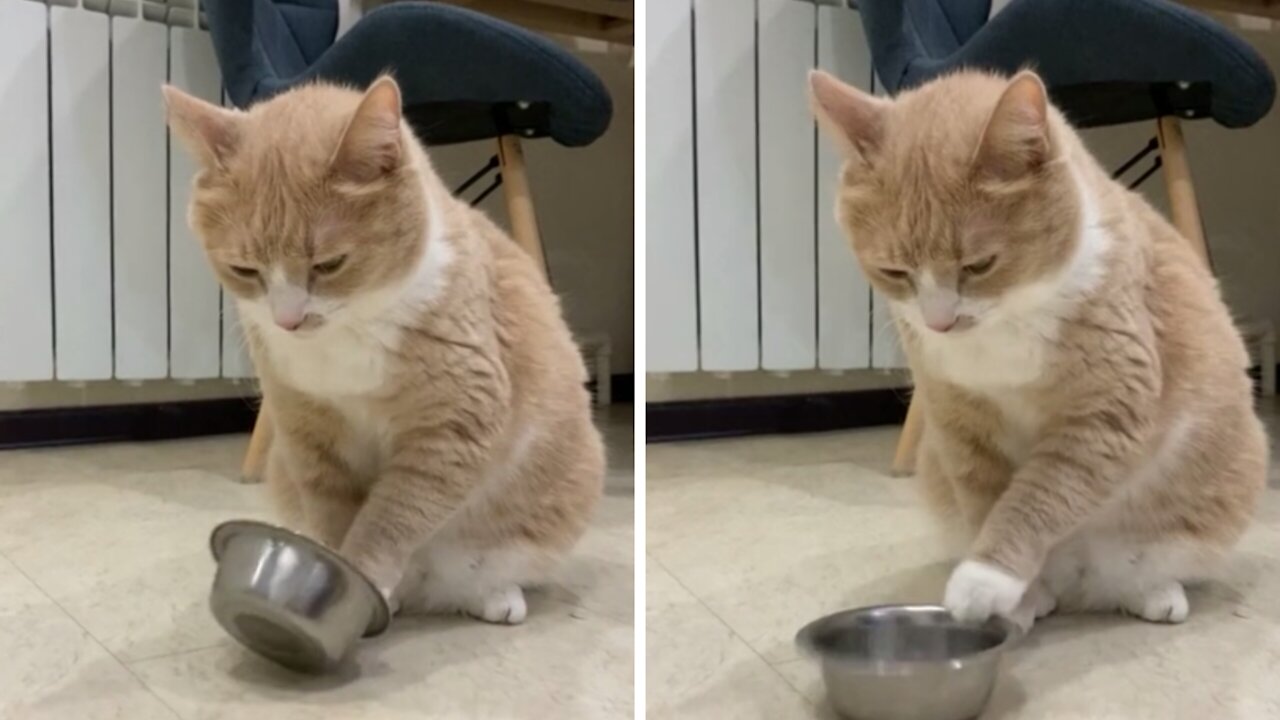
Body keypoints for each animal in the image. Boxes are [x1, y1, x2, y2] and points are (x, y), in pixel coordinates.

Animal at [165, 75, 604, 620]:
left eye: (329, 264)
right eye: (244, 270)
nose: (288, 320)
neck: (348, 332)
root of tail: (424, 591)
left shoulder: (451, 428)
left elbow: (391, 517)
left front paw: (365, 573)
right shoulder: (308, 432)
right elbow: (333, 514)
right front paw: (336, 570)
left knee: (483, 571)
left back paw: (492, 597)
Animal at [808, 68, 1269, 627]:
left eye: (979, 265)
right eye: (894, 272)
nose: (940, 322)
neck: (1006, 322)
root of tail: (1080, 586)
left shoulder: (1103, 415)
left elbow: (1038, 497)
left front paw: (985, 580)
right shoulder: (959, 422)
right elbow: (987, 500)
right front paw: (1018, 596)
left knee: (1135, 572)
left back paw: (1155, 593)